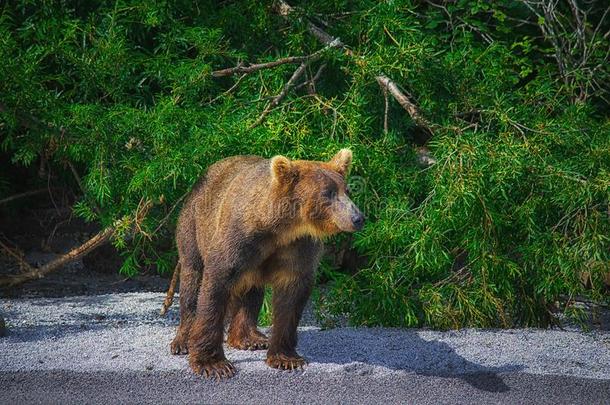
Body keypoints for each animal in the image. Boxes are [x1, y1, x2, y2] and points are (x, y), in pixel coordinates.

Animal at [169, 149, 364, 378]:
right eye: (327, 193)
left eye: (348, 191)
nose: (358, 218)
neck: (280, 229)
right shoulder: (238, 239)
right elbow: (214, 288)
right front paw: (213, 364)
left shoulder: (298, 248)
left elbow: (291, 298)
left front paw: (286, 358)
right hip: (193, 226)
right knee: (192, 278)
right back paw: (183, 341)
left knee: (251, 292)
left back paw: (250, 338)